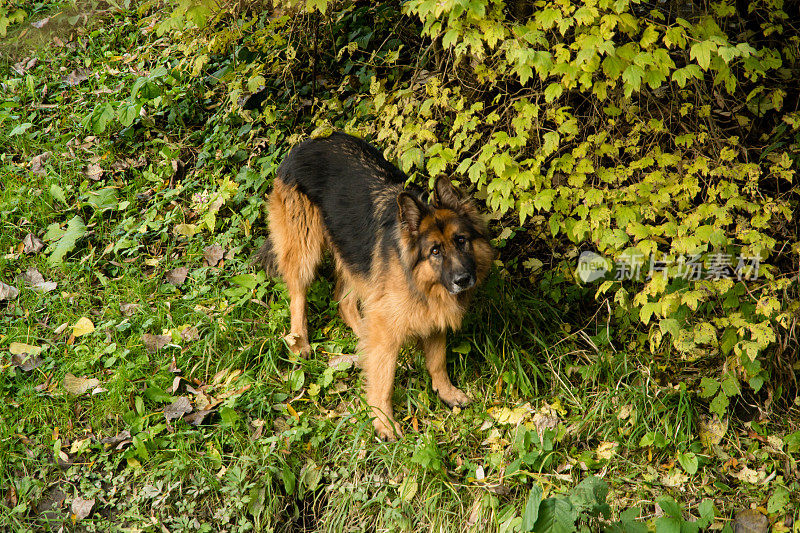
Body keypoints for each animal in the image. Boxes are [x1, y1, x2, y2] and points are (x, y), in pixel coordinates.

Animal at [256, 134, 494, 440]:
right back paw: (300, 342)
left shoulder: (432, 316)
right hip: (305, 248)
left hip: (354, 257)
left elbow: (437, 361)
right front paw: (384, 421)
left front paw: (446, 392)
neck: (416, 274)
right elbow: (384, 378)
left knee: (344, 303)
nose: (463, 279)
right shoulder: (389, 320)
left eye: (462, 240)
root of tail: (308, 142)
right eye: (435, 251)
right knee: (298, 294)